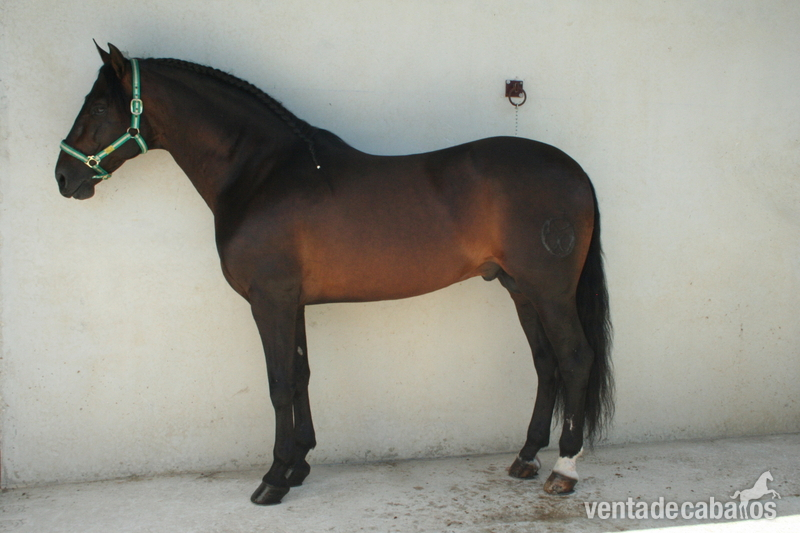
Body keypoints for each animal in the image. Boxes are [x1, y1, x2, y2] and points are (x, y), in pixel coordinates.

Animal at [55, 43, 613, 505]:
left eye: (99, 107)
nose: (63, 176)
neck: (262, 174)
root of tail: (576, 171)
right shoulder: (292, 302)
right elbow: (301, 375)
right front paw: (299, 465)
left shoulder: (271, 301)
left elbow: (279, 382)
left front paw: (274, 478)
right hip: (520, 289)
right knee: (546, 364)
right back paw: (526, 457)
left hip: (550, 291)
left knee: (575, 359)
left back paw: (564, 469)